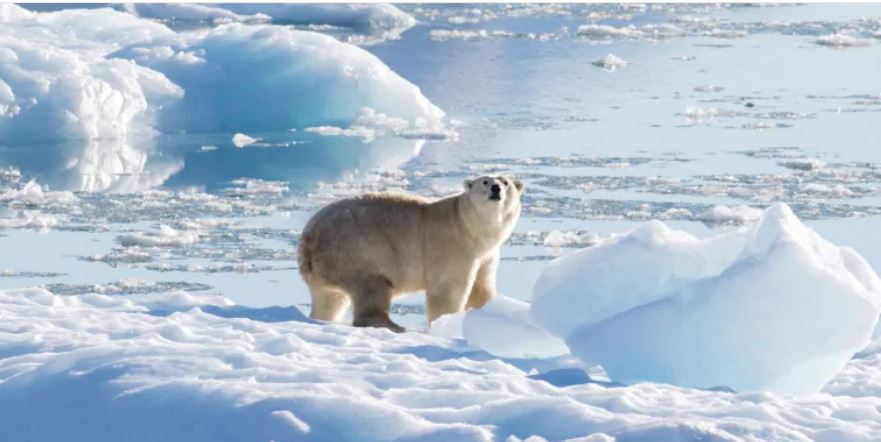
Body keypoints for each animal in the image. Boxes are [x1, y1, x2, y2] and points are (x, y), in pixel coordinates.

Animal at [297, 175, 524, 332]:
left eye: (505, 181)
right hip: (357, 250)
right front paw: (446, 323)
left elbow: (481, 288)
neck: (468, 225)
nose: (496, 188)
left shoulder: (487, 254)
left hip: (327, 267)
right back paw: (394, 325)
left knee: (330, 299)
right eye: (485, 181)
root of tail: (308, 239)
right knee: (371, 287)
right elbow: (448, 289)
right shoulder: (452, 246)